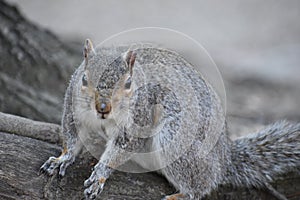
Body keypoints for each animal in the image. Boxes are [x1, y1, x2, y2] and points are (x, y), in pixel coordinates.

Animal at [40, 39, 300, 200]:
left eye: (128, 83)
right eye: (84, 78)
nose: (103, 108)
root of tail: (224, 159)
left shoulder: (139, 118)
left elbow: (120, 150)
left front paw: (100, 174)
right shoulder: (72, 111)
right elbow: (72, 139)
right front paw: (62, 159)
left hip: (176, 142)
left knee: (200, 188)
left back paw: (181, 195)